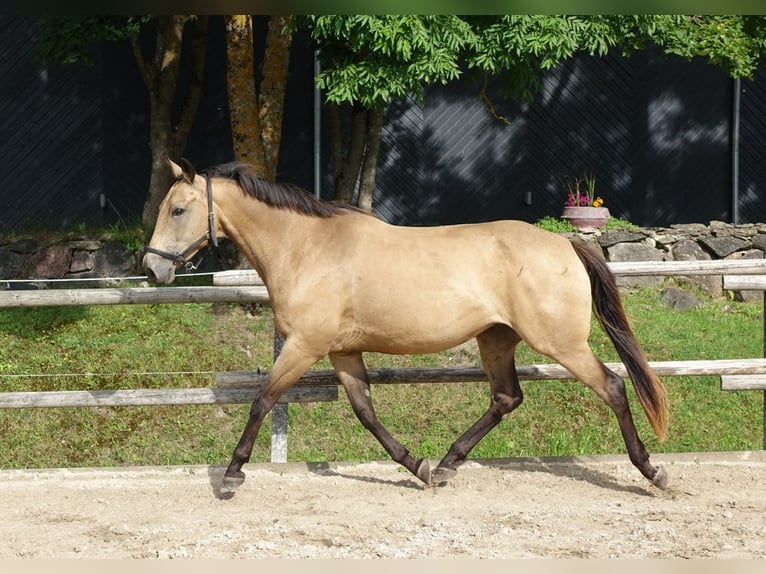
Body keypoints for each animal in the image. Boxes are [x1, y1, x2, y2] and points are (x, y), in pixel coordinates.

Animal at [144, 159, 672, 496]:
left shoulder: (304, 345)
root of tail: (565, 243)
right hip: (496, 338)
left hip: (560, 343)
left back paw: (652, 472)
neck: (308, 248)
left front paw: (232, 476)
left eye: (177, 209)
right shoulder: (341, 352)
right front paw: (417, 466)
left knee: (613, 386)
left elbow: (263, 399)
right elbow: (366, 412)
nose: (152, 269)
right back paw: (446, 465)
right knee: (506, 398)